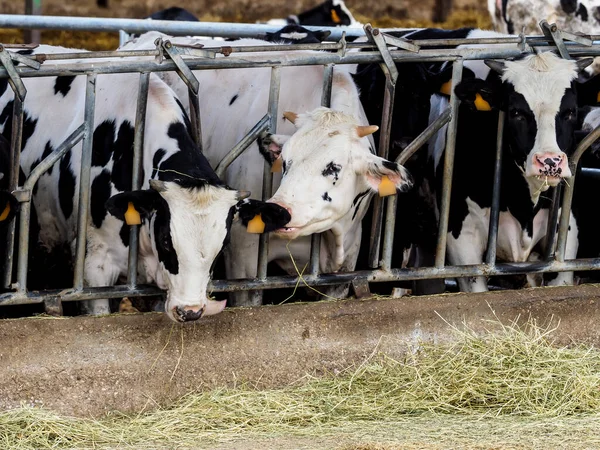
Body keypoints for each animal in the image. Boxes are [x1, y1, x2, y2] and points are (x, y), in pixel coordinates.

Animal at [428, 30, 596, 292]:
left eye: (570, 112)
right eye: (516, 112)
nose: (550, 162)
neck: (522, 203)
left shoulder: (566, 234)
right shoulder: (460, 238)